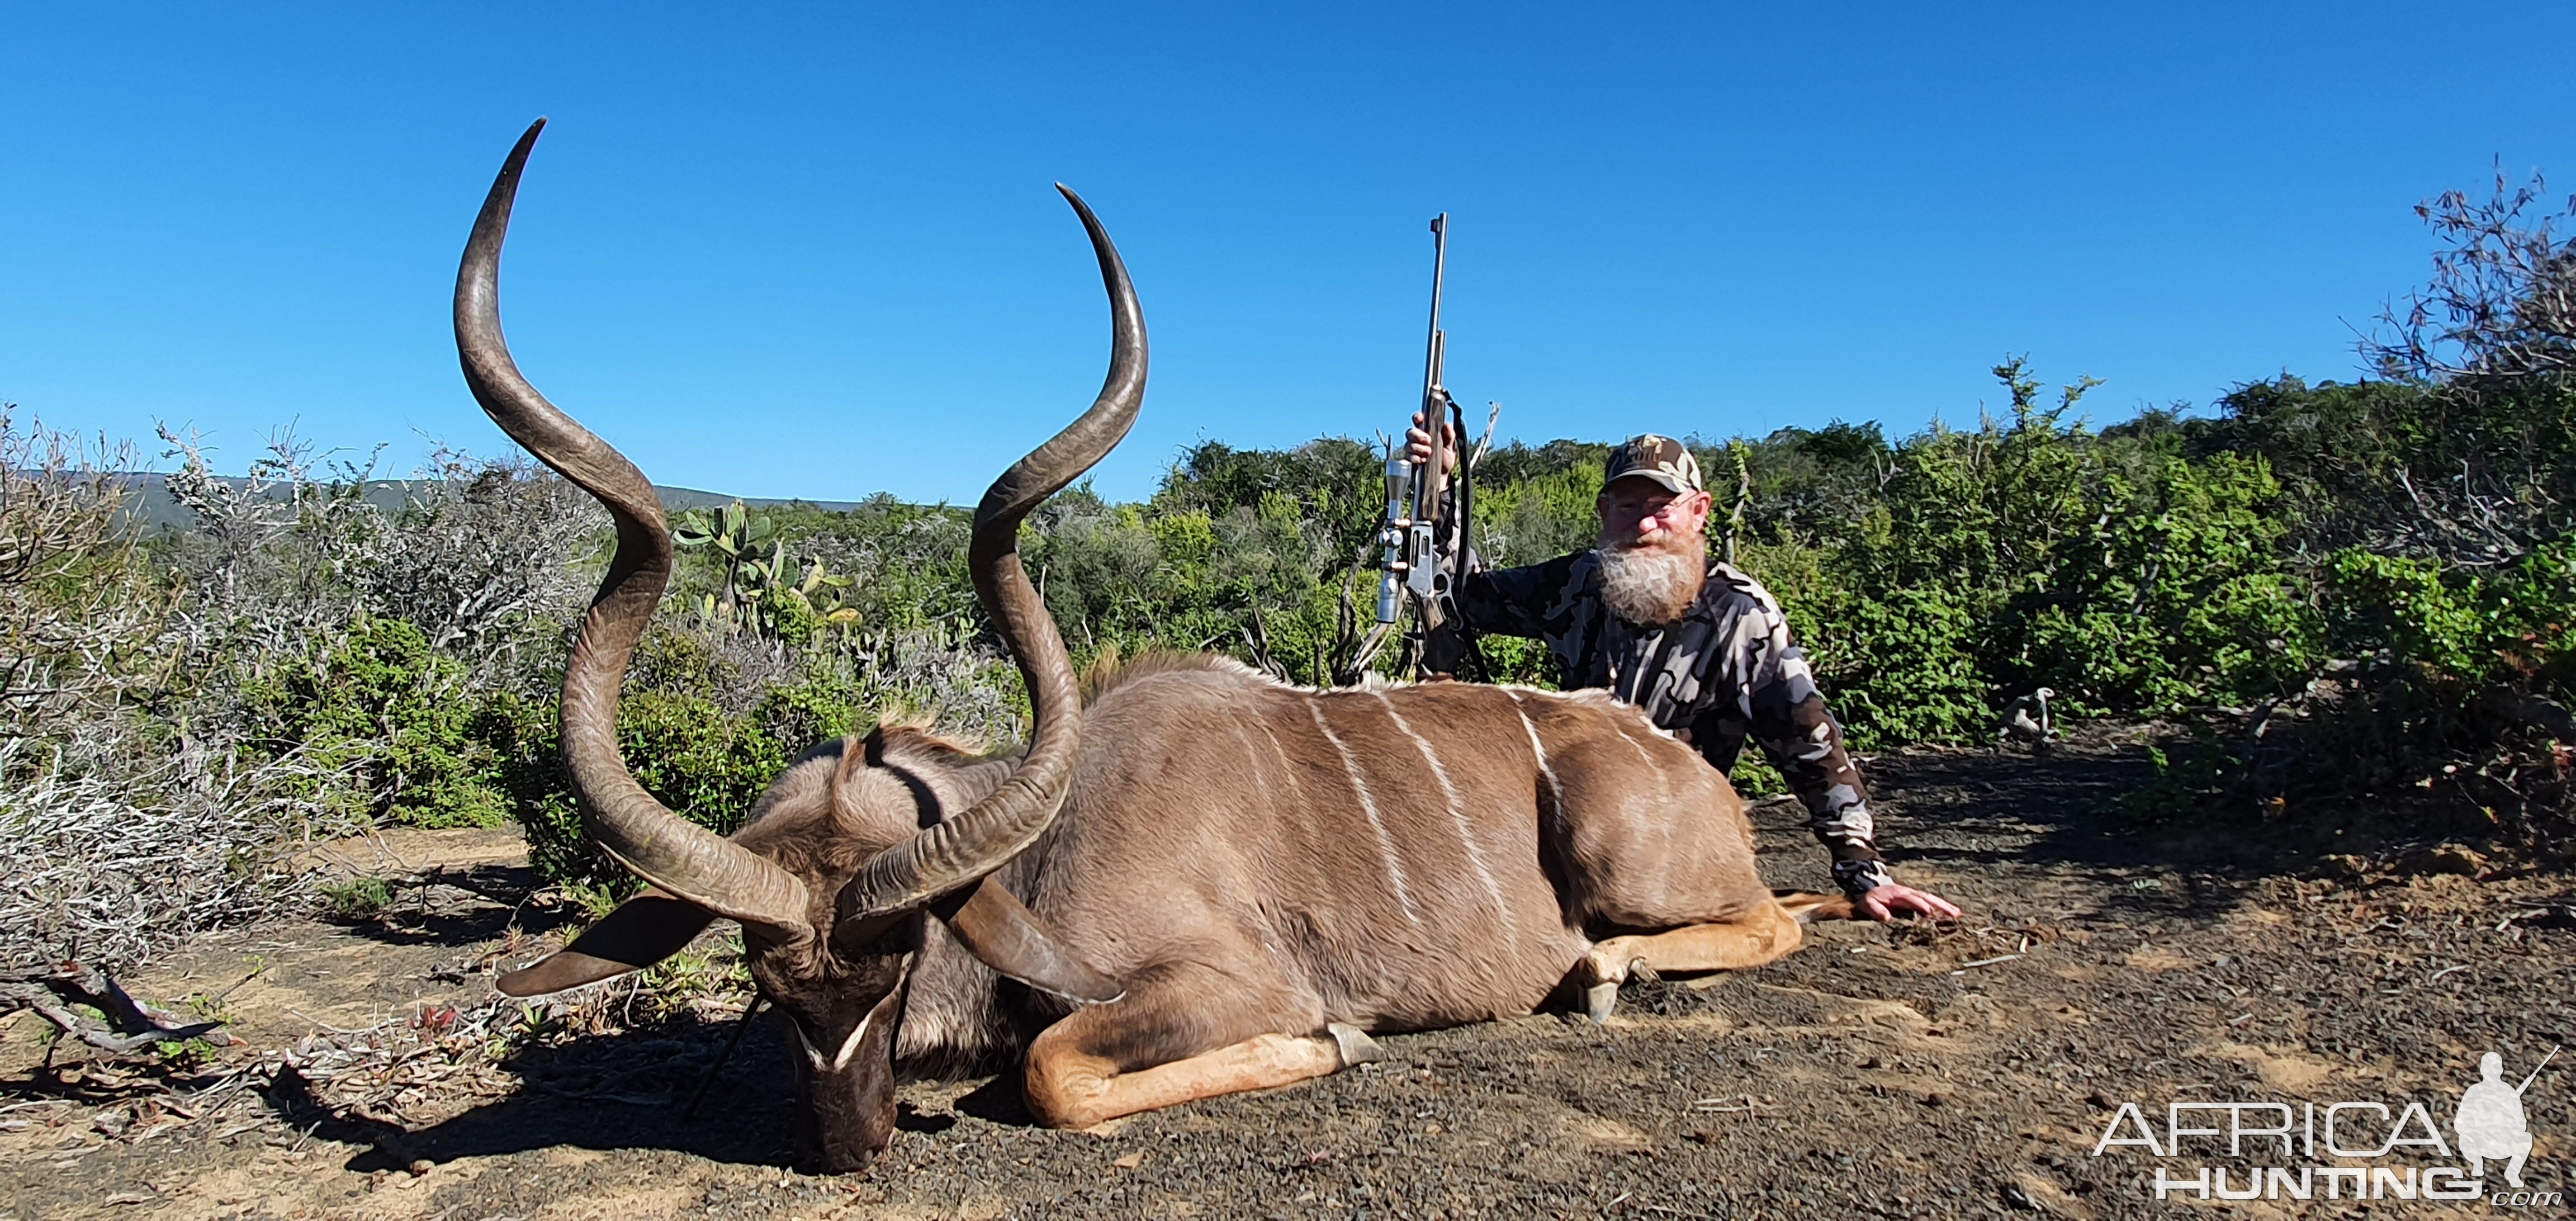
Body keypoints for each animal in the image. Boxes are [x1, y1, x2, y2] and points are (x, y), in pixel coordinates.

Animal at [468, 124, 1834, 1175]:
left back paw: (1606, 971)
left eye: (897, 961)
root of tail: (1692, 773)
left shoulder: (1232, 980)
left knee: (1777, 917)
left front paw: (1335, 1042)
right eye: (765, 981)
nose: (851, 1145)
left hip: (1625, 857)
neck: (1038, 850)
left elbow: (1053, 1069)